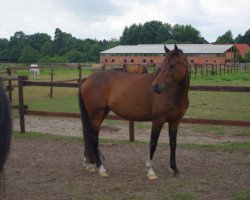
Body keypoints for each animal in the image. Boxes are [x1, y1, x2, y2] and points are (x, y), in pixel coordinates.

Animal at [79, 44, 189, 179]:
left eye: (172, 65)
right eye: (163, 65)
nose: (156, 86)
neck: (172, 93)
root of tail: (87, 79)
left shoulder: (175, 121)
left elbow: (173, 143)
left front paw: (175, 169)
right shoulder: (158, 120)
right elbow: (153, 143)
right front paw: (150, 171)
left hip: (100, 114)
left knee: (87, 135)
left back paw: (89, 165)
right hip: (96, 115)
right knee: (93, 138)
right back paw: (101, 168)